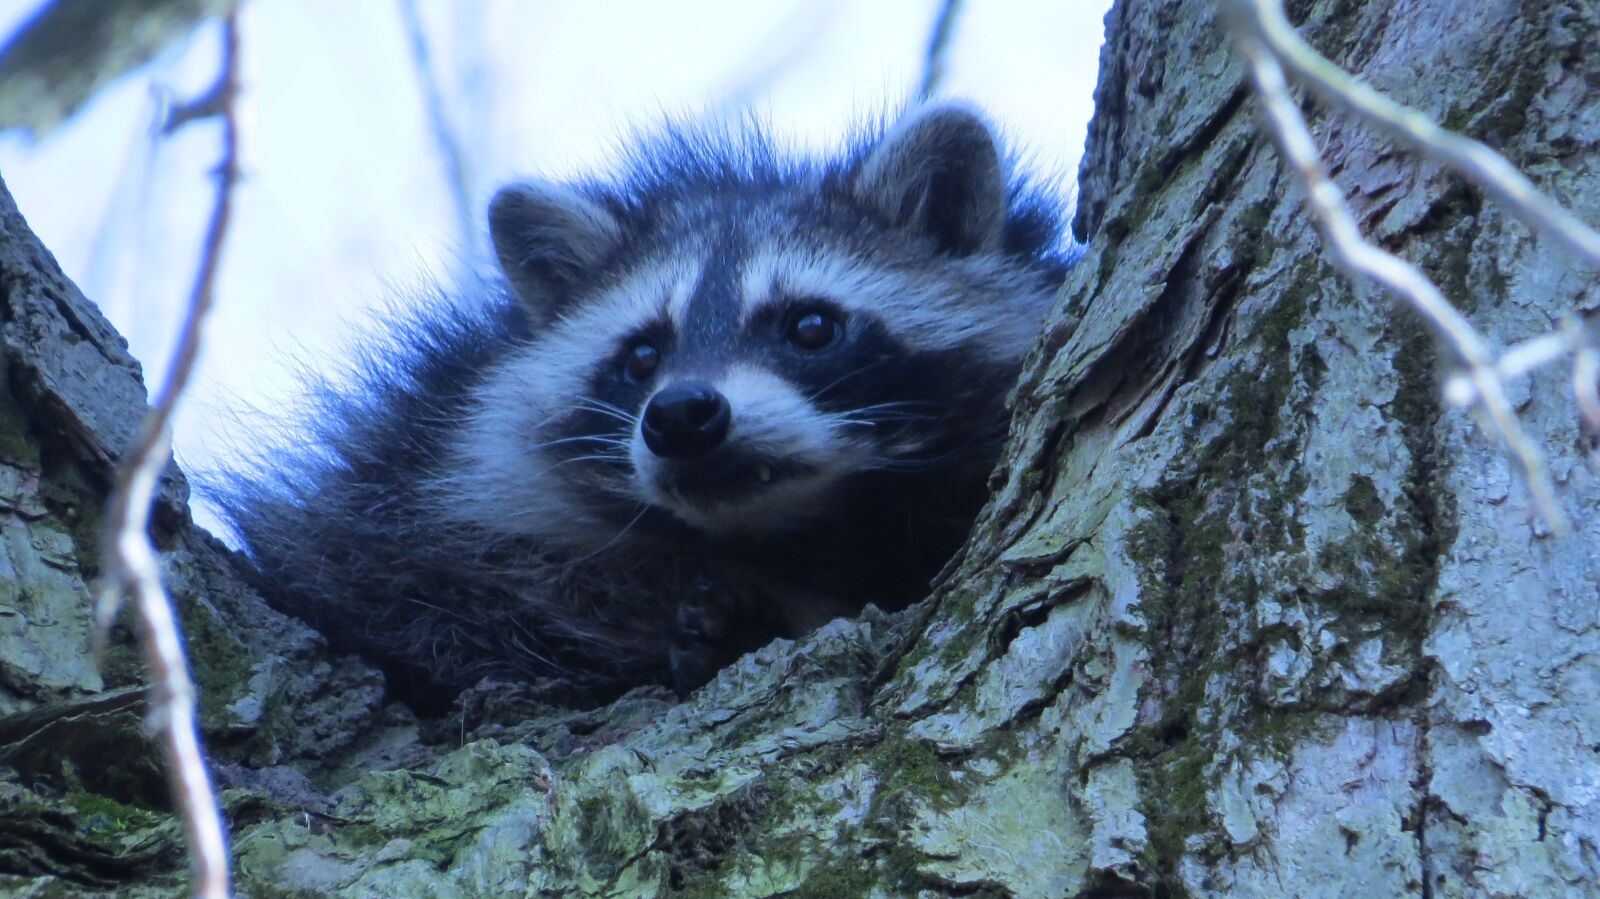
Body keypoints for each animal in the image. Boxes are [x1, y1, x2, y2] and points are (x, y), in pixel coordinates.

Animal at [214, 103, 1072, 711]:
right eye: (642, 356)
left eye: (811, 327)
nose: (683, 415)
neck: (798, 529)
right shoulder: (403, 491)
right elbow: (461, 587)